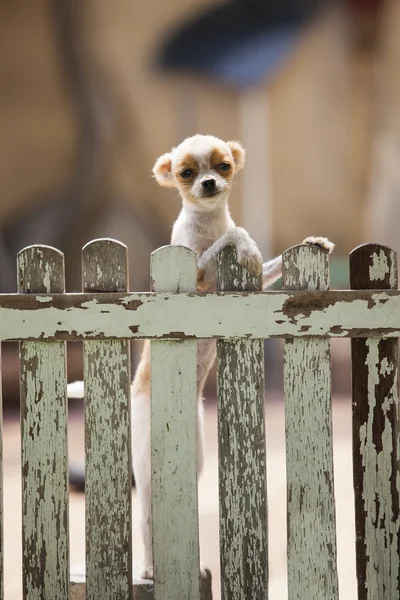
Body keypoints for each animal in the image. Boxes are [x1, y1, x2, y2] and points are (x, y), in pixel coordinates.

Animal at [69, 134, 334, 580]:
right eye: (186, 173)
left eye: (223, 166)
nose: (208, 183)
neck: (209, 223)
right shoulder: (193, 276)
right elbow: (232, 238)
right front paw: (243, 243)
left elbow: (270, 264)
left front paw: (314, 242)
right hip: (146, 470)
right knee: (147, 524)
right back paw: (148, 571)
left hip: (192, 461)